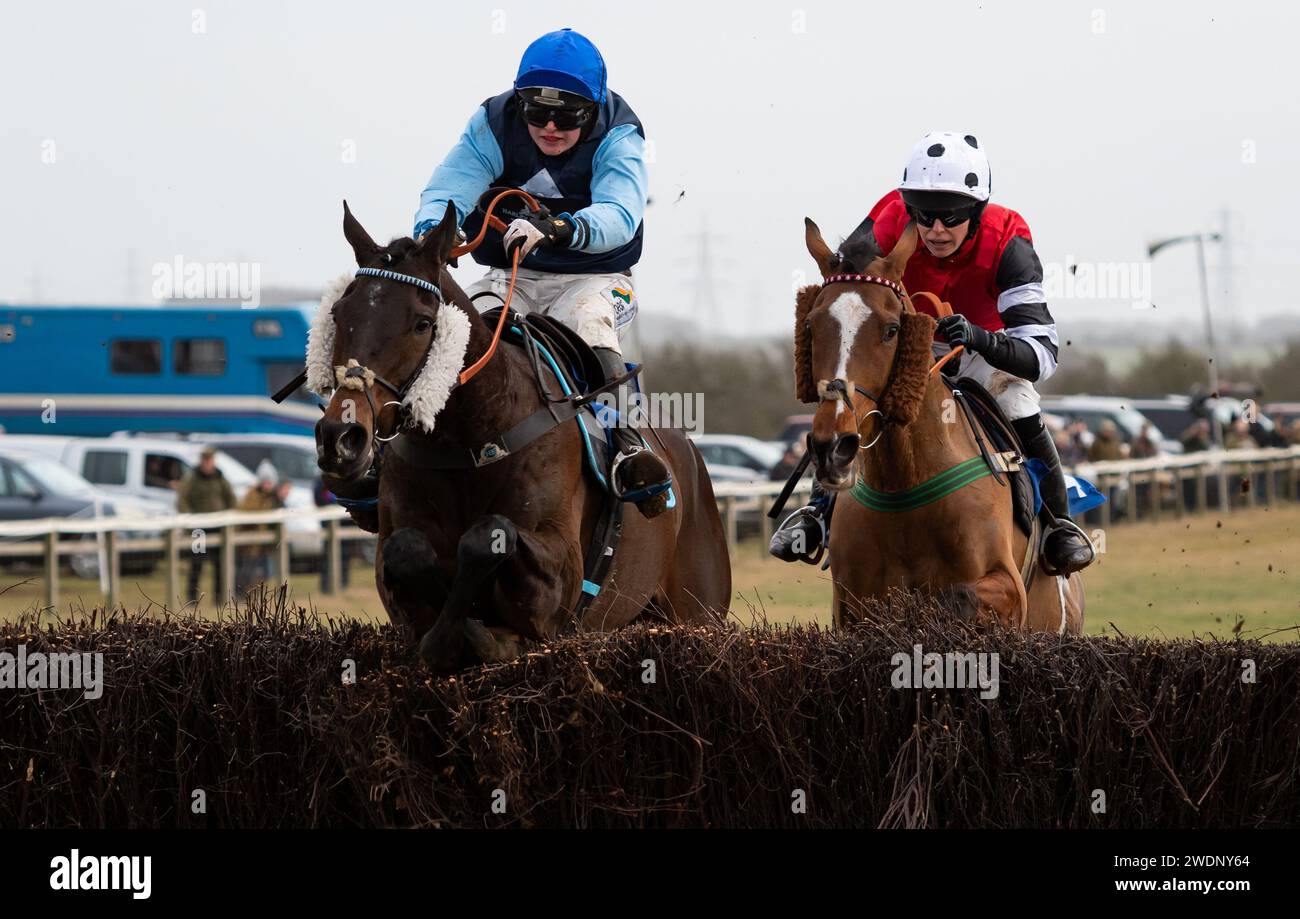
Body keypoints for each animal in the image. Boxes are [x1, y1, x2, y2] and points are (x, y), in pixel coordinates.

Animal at [309, 205, 728, 670]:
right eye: (338, 315)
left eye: (422, 323)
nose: (342, 436)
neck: (469, 439)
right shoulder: (393, 558)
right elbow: (409, 551)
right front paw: (458, 628)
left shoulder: (560, 574)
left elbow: (490, 537)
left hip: (699, 610)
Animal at [790, 217, 1086, 631]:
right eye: (811, 326)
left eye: (891, 329)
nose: (833, 447)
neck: (904, 483)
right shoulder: (848, 600)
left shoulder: (1009, 587)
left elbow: (952, 597)